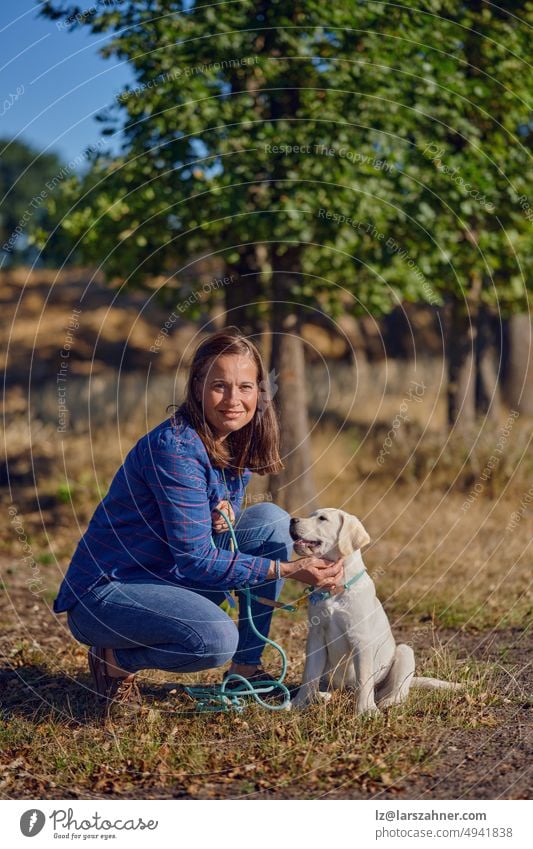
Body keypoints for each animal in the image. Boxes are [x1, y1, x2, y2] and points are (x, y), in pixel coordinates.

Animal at [288, 506, 460, 712]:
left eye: (322, 518)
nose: (292, 520)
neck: (337, 588)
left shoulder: (360, 639)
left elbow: (364, 678)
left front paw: (366, 710)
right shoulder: (316, 636)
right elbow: (309, 674)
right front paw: (297, 704)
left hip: (404, 653)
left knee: (399, 691)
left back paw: (388, 702)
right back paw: (322, 696)